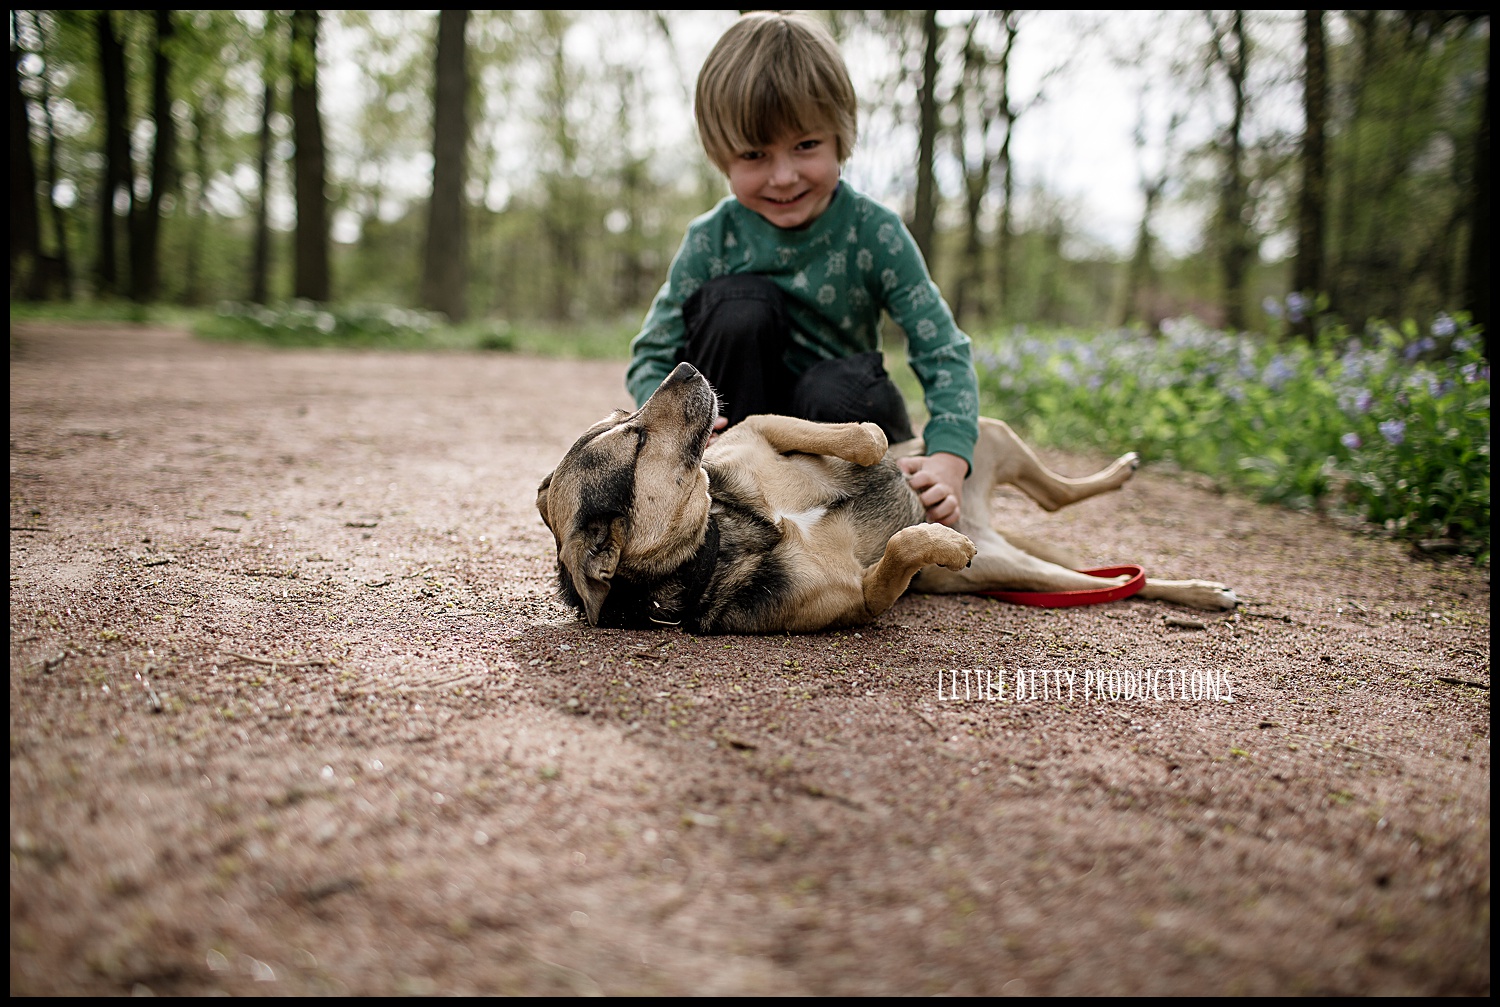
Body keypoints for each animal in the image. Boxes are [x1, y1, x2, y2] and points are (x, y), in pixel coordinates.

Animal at [534, 358, 1236, 633]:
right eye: (634, 440)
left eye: (622, 415)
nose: (684, 368)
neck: (728, 525)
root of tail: (991, 526)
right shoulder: (867, 599)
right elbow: (899, 549)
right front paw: (933, 535)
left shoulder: (758, 430)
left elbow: (860, 438)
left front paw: (885, 458)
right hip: (1022, 570)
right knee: (1111, 580)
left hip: (993, 436)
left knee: (1060, 499)